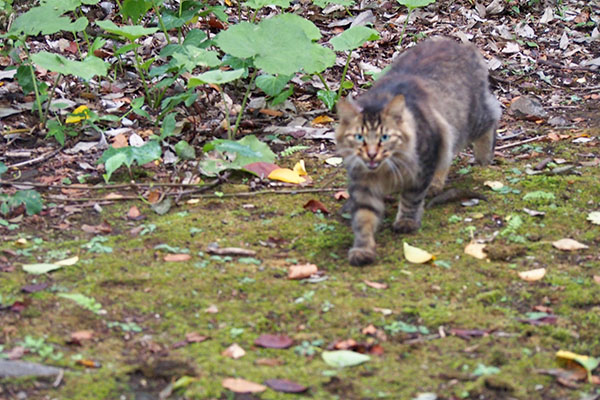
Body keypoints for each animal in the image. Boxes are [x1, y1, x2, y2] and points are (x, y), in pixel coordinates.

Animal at [336, 37, 500, 266]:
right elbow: (363, 219)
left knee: (493, 115)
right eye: (359, 138)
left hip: (471, 121)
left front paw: (406, 222)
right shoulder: (363, 185)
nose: (371, 154)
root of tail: (462, 46)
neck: (384, 171)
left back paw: (483, 159)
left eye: (384, 138)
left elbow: (411, 200)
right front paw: (363, 250)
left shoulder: (423, 165)